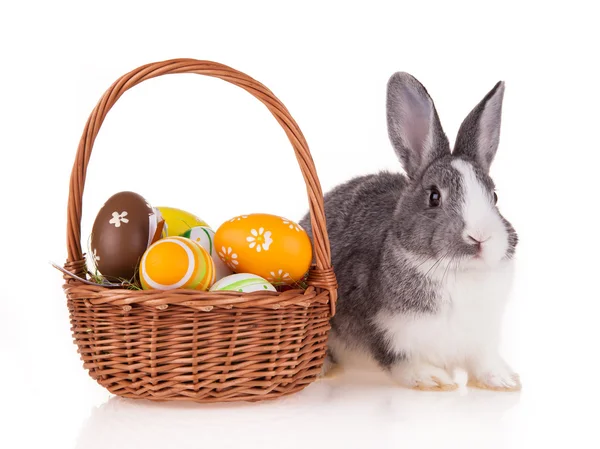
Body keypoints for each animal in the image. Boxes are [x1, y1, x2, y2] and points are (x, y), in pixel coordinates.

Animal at [300, 72, 520, 390]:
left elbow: (484, 361)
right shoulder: (384, 331)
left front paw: (505, 380)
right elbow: (401, 361)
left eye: (494, 196)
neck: (458, 273)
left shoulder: (482, 337)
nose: (480, 237)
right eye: (434, 197)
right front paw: (433, 379)